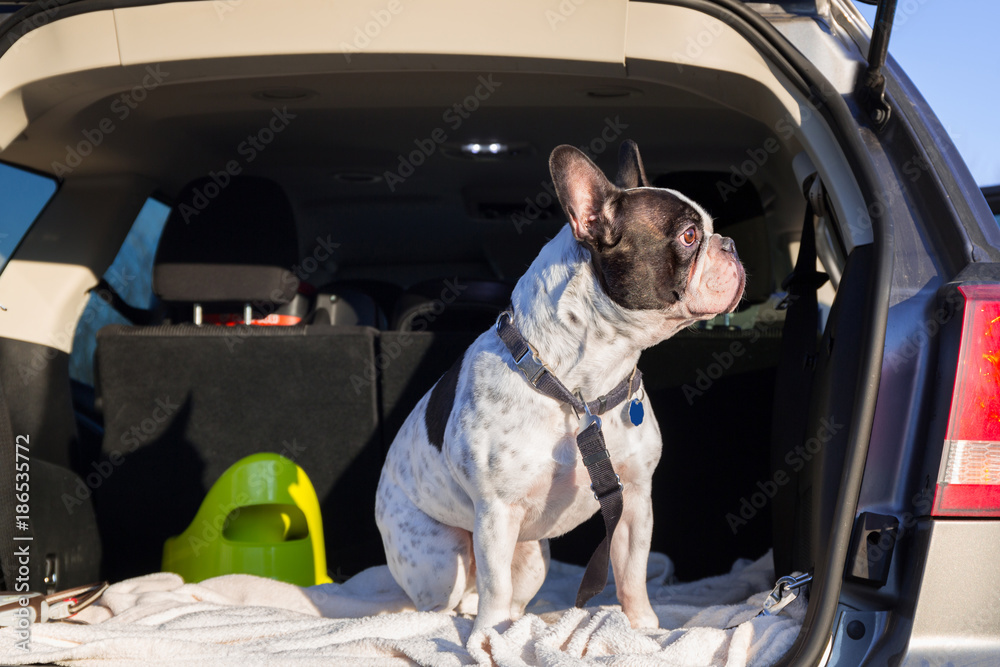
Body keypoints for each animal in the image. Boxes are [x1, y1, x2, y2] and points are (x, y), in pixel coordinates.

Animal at [374, 140, 744, 632]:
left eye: (712, 230)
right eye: (688, 237)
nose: (731, 245)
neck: (582, 390)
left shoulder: (635, 498)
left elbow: (632, 571)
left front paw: (642, 626)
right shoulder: (496, 514)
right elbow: (494, 587)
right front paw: (487, 639)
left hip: (533, 557)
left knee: (510, 596)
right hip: (440, 555)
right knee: (450, 601)